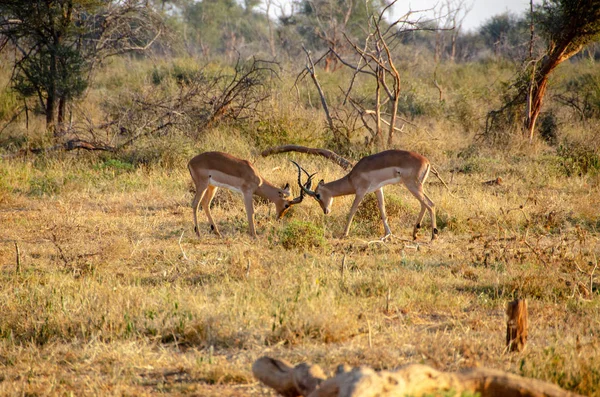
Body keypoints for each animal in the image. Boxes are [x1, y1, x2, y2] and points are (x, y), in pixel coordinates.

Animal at [292, 148, 438, 240]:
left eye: (317, 195)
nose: (325, 211)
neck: (351, 178)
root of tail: (427, 162)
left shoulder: (361, 191)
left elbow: (352, 210)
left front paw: (344, 234)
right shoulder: (378, 189)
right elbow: (383, 210)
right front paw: (388, 234)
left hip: (413, 185)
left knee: (430, 204)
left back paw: (433, 236)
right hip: (417, 186)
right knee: (424, 204)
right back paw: (415, 234)